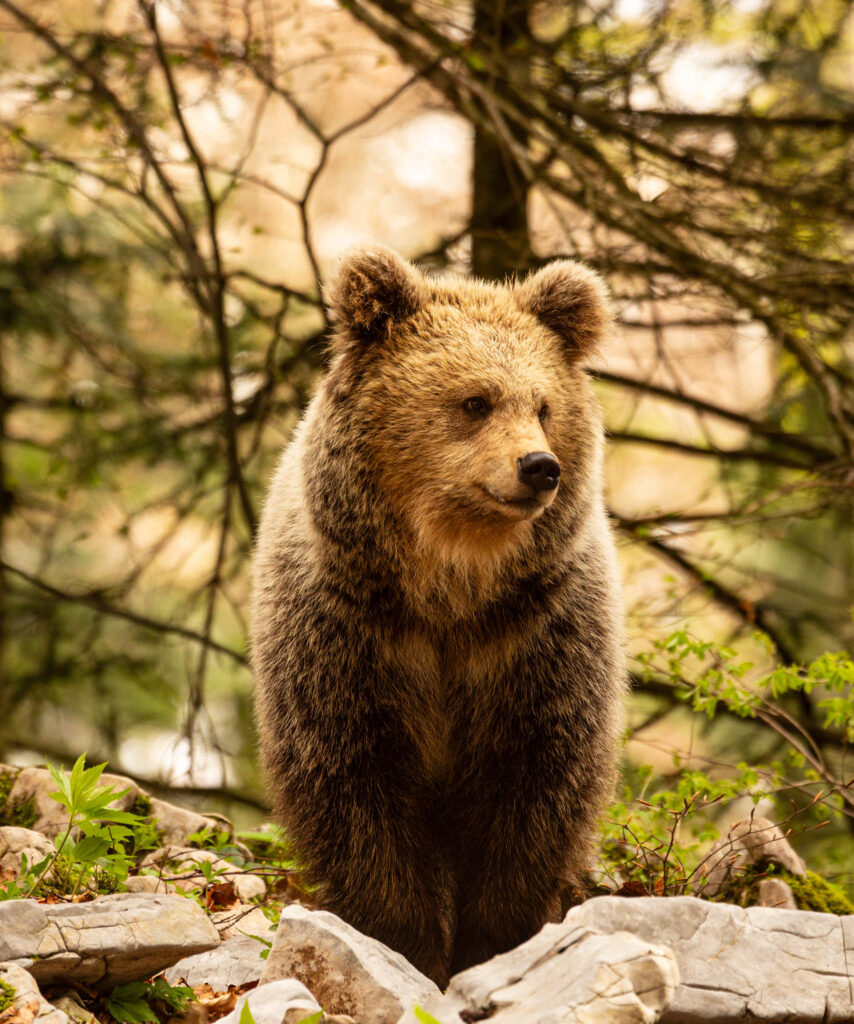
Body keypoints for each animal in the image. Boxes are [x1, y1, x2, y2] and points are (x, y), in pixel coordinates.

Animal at [249, 245, 622, 983]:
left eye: (543, 405)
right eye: (474, 401)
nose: (539, 466)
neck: (451, 586)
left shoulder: (535, 637)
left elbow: (534, 790)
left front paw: (494, 944)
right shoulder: (348, 635)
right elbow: (357, 790)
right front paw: (404, 944)